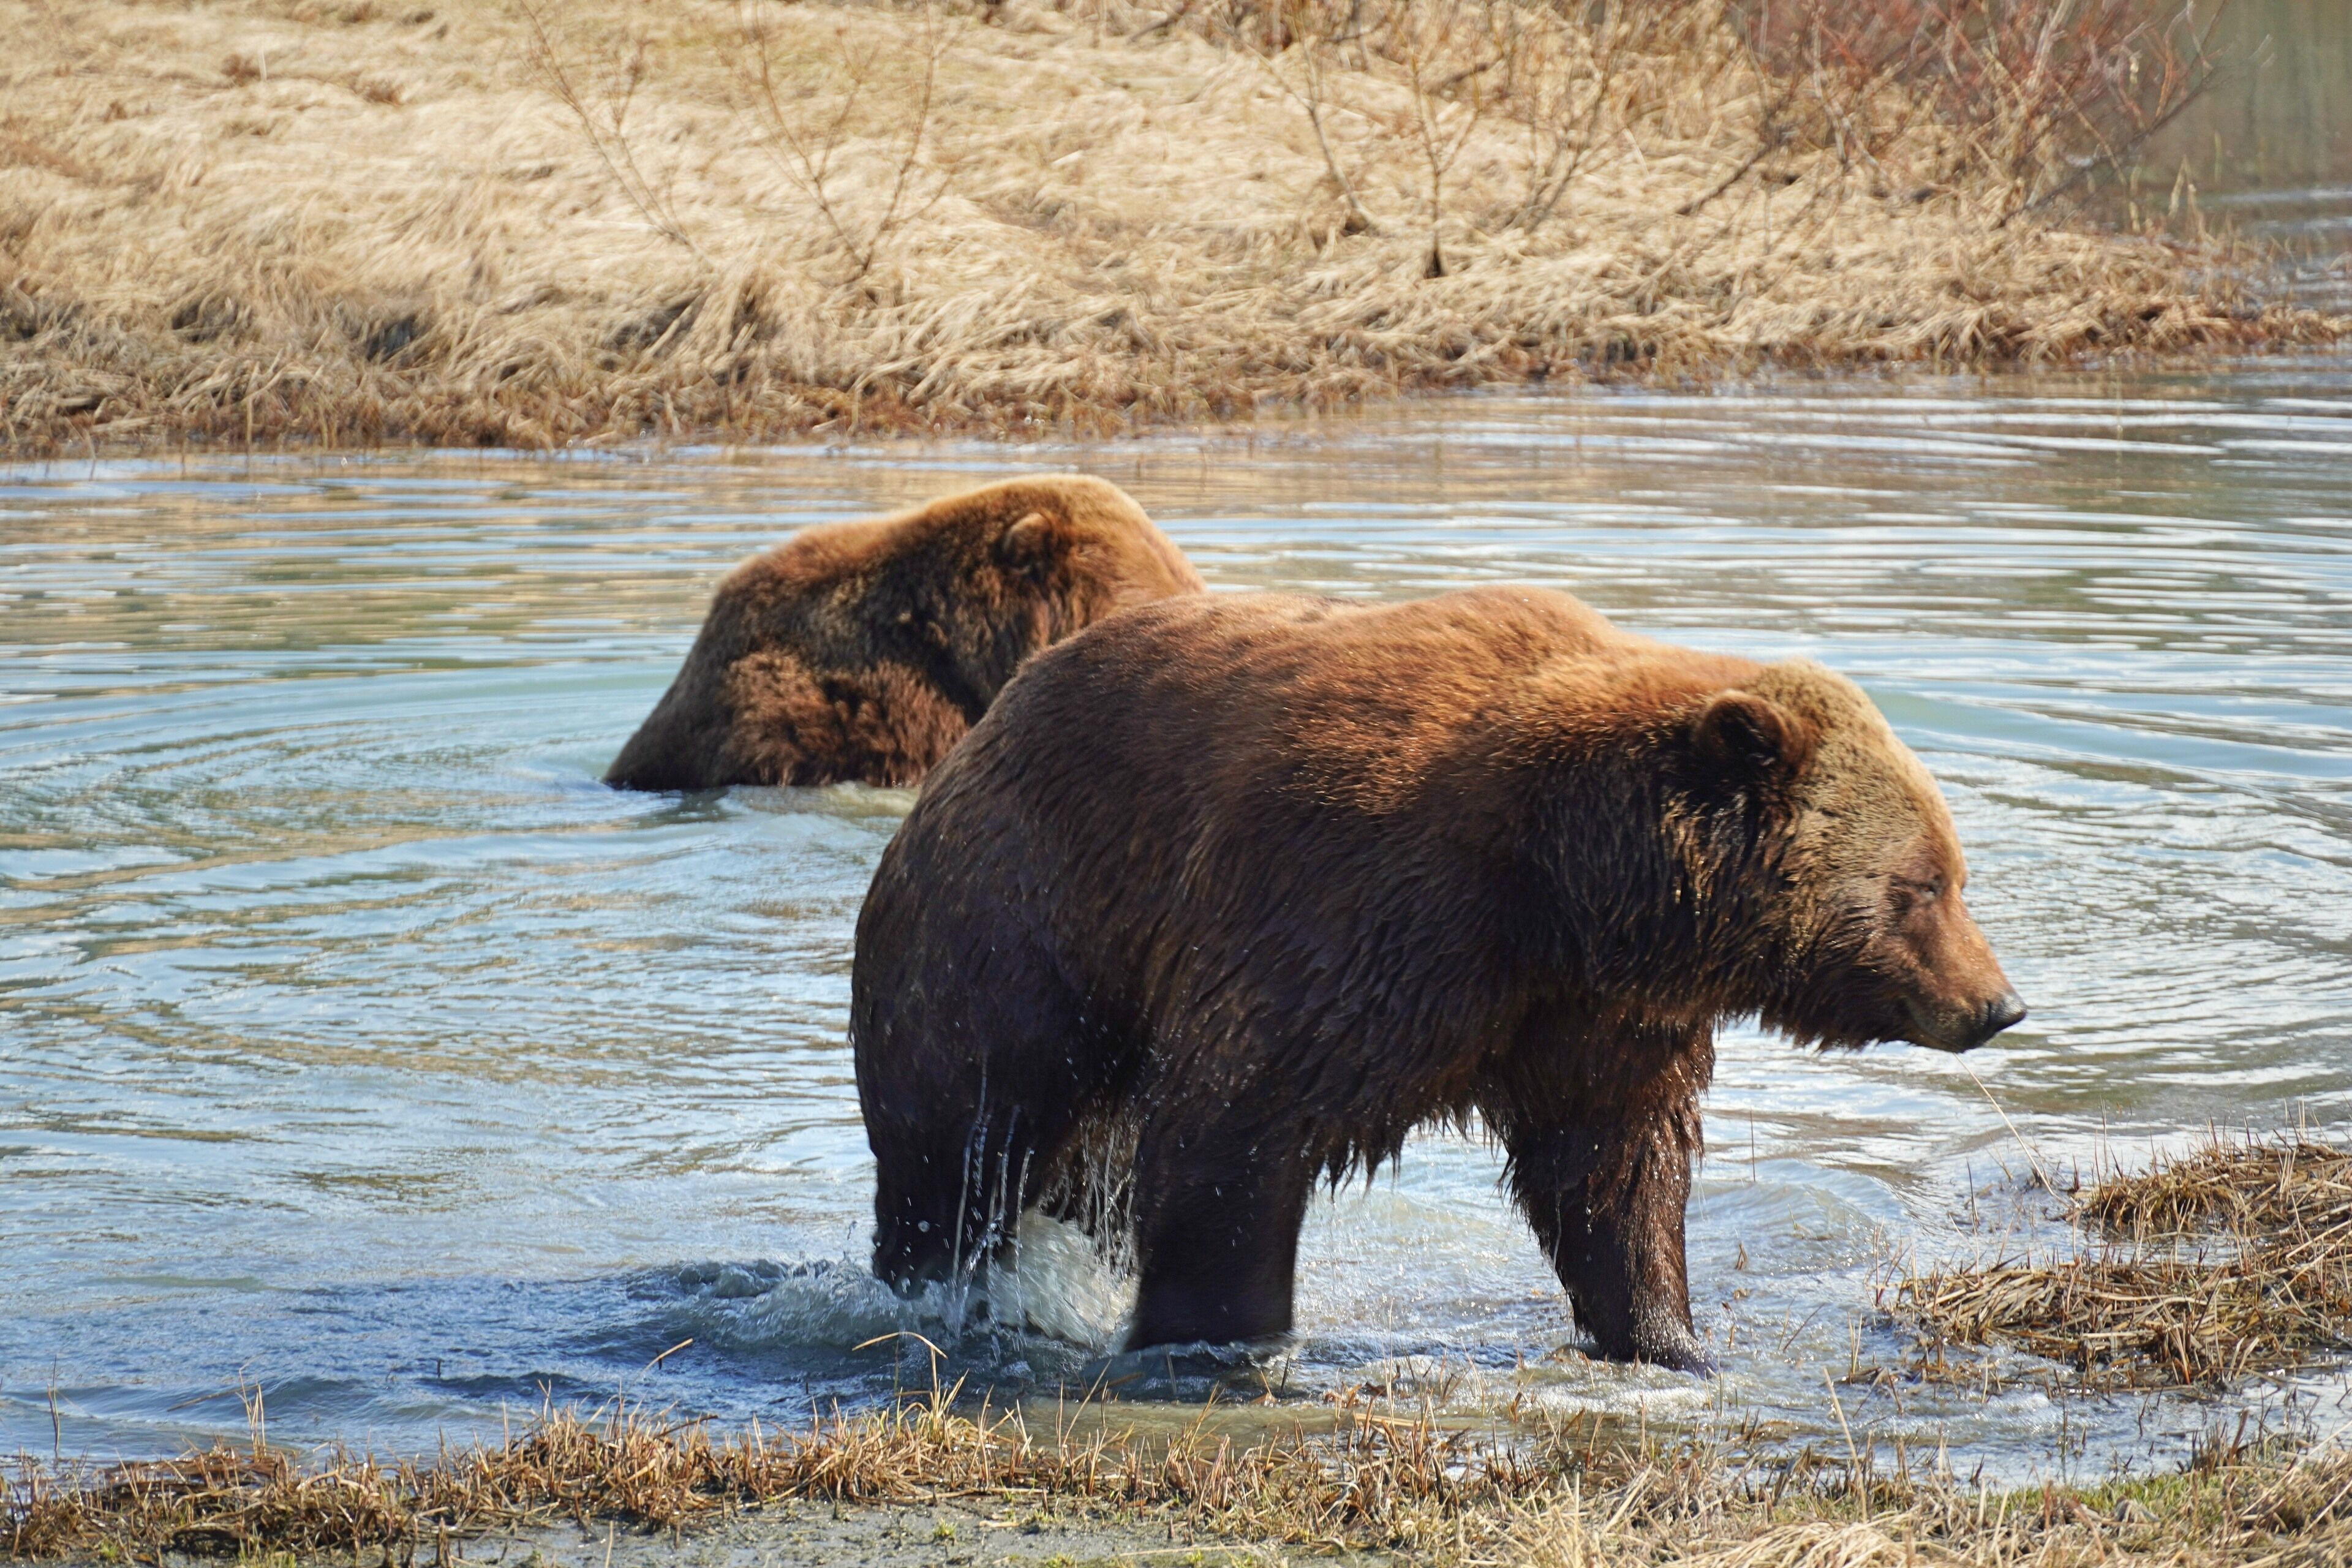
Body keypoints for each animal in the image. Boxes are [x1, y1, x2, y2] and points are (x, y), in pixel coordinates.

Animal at [849, 586, 2026, 1371]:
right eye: (1921, 884)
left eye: (1955, 872)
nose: (1998, 1004)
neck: (1564, 887)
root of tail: (972, 742)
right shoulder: (1350, 907)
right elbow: (1238, 1123)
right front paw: (1215, 1341)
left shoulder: (1589, 1014)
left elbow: (1615, 1173)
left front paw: (1669, 1338)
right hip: (1016, 926)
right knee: (961, 1134)